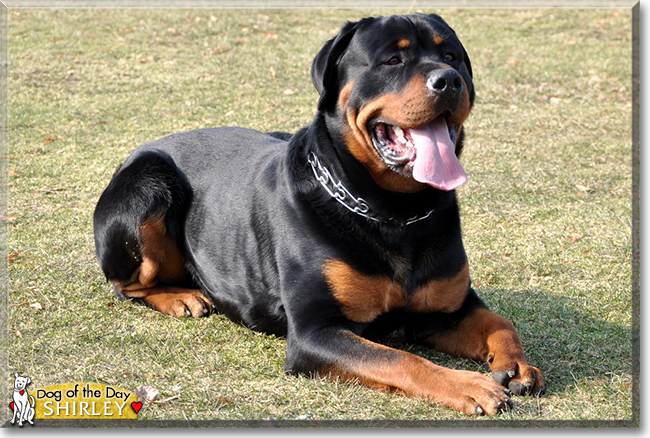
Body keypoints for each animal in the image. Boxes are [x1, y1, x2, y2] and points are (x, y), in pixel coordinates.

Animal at [92, 13, 540, 416]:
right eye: (392, 60)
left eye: (451, 55)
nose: (448, 80)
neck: (394, 213)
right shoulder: (314, 333)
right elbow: (399, 358)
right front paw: (469, 385)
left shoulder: (445, 310)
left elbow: (499, 322)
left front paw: (516, 365)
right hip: (149, 184)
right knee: (126, 285)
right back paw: (181, 297)